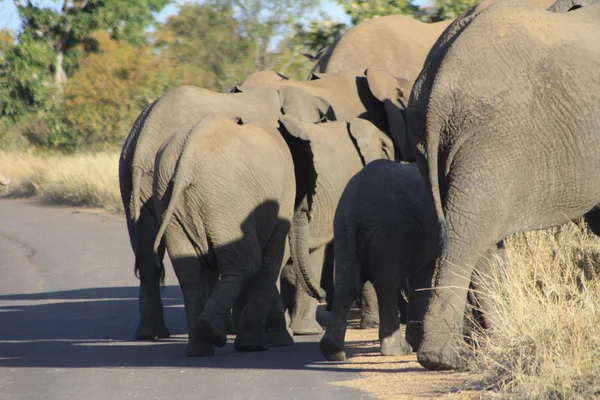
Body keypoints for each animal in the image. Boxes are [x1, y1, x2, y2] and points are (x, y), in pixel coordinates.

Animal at [149, 114, 310, 354]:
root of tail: (188, 157)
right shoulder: (284, 192)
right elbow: (271, 260)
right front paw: (256, 346)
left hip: (168, 198)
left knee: (190, 272)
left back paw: (199, 349)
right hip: (226, 202)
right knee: (246, 263)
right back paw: (214, 334)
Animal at [318, 160, 440, 362]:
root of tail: (355, 209)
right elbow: (421, 277)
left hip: (342, 229)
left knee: (345, 284)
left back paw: (332, 350)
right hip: (388, 231)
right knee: (387, 286)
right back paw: (398, 350)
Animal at [408, 0, 600, 372]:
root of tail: (437, 81)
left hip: (440, 147)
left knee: (477, 240)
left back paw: (496, 340)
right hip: (493, 141)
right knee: (465, 238)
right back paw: (443, 359)